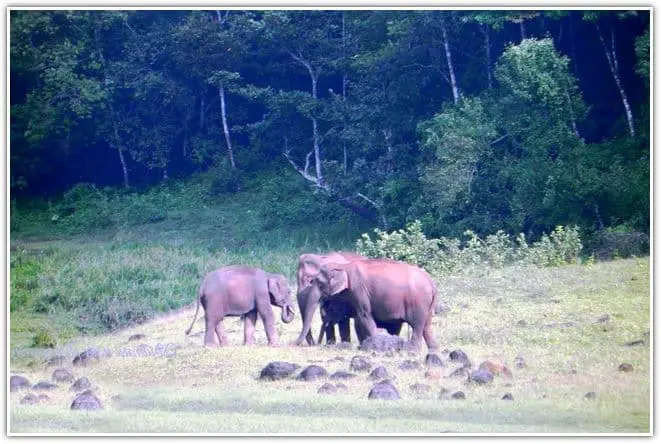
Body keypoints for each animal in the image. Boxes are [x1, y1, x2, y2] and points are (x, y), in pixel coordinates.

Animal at [310, 258, 438, 352]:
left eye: (319, 283)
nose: (321, 345)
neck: (344, 266)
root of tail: (431, 282)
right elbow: (359, 320)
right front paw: (363, 347)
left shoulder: (358, 290)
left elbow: (364, 316)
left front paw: (375, 346)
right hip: (428, 305)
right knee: (426, 326)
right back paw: (433, 350)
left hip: (418, 302)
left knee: (417, 325)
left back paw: (412, 351)